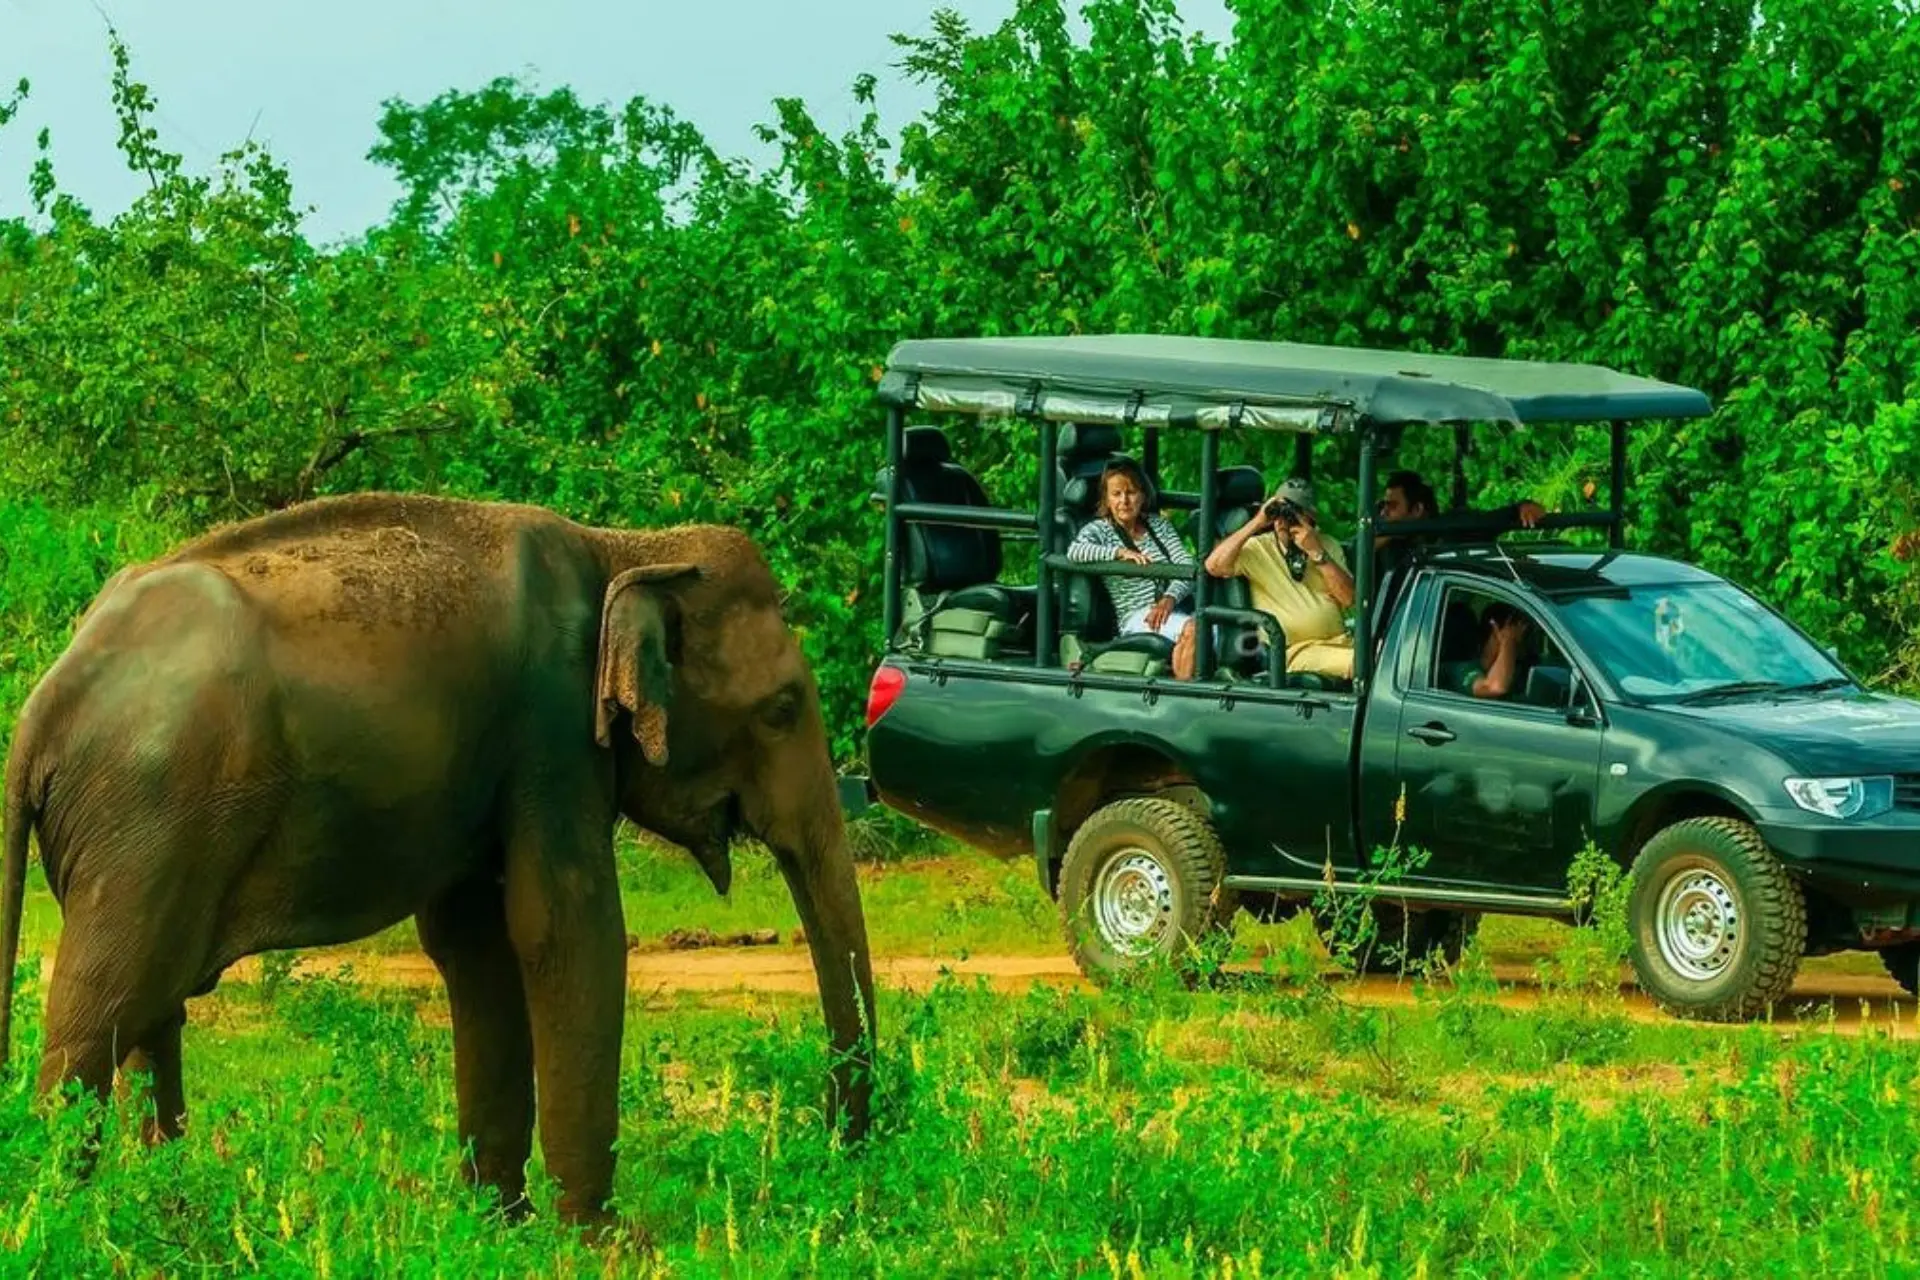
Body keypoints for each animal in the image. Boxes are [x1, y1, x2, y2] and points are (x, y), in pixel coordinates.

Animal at [0, 491, 876, 1224]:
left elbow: (478, 946)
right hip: (148, 817)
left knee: (155, 1005)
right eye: (781, 710)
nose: (840, 1154)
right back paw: (65, 1220)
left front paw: (499, 1225)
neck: (625, 547)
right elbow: (566, 930)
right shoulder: (550, 728)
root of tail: (43, 707)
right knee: (102, 1007)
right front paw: (603, 1241)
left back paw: (162, 1210)